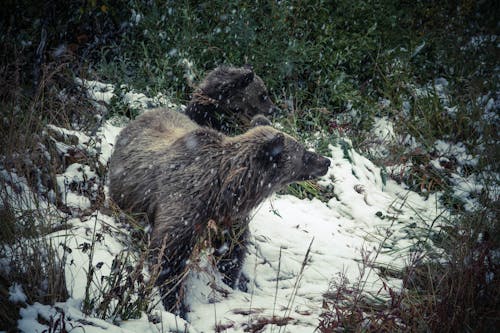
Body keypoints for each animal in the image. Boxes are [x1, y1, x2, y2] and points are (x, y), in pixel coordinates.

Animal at [107, 107, 330, 316]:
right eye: (304, 153)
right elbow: (168, 257)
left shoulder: (229, 219)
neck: (225, 190)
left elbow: (231, 252)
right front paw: (176, 305)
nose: (326, 161)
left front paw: (231, 280)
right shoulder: (186, 208)